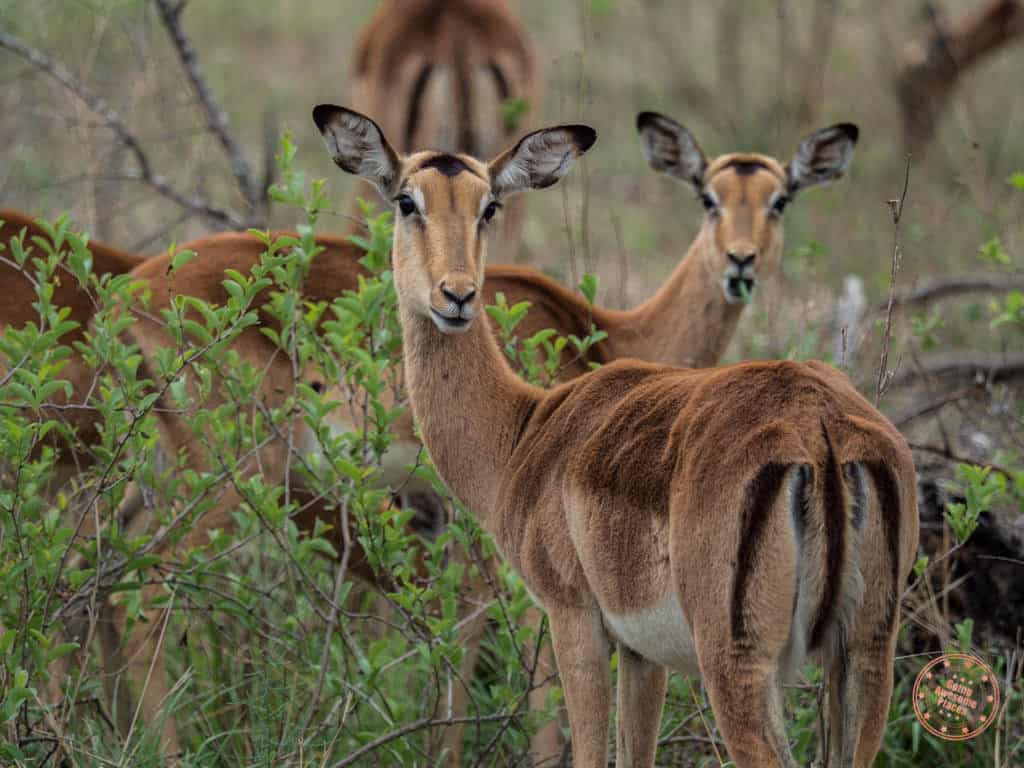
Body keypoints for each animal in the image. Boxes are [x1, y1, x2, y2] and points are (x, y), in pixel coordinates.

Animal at [313, 104, 919, 768]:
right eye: (406, 200)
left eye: (489, 206)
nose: (457, 295)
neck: (526, 429)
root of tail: (821, 429)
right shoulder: (641, 653)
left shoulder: (572, 617)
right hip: (865, 654)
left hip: (737, 662)